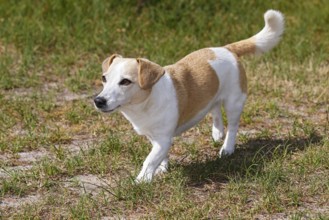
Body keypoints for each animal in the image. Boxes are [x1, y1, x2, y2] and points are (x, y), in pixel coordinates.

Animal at [93, 9, 284, 182]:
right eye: (104, 78)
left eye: (125, 82)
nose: (98, 101)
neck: (146, 103)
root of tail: (227, 48)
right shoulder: (154, 138)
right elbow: (160, 156)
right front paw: (162, 168)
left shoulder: (163, 139)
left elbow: (149, 160)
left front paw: (141, 181)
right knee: (215, 107)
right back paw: (217, 132)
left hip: (234, 102)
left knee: (233, 126)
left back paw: (227, 148)